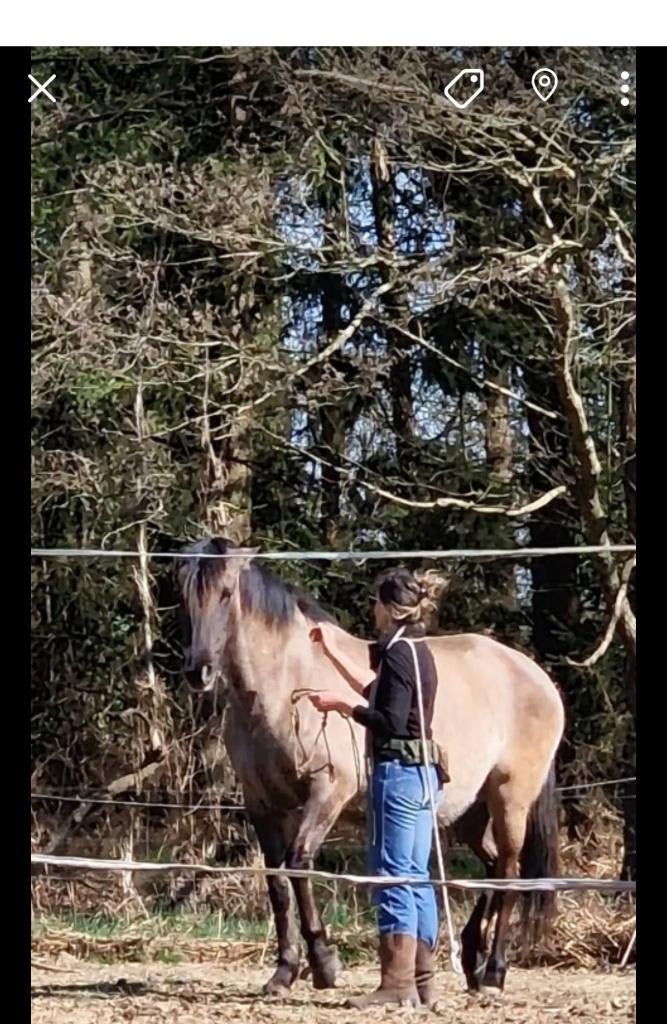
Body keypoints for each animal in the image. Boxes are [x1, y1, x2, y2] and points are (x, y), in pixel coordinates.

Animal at [176, 537, 565, 997]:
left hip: (510, 800)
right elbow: (277, 882)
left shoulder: (327, 792)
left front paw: (324, 964)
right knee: (490, 868)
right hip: (468, 812)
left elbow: (298, 862)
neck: (285, 687)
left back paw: (494, 973)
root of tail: (537, 676)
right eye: (184, 595)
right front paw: (284, 971)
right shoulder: (262, 803)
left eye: (225, 593)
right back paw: (472, 957)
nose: (198, 671)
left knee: (508, 872)